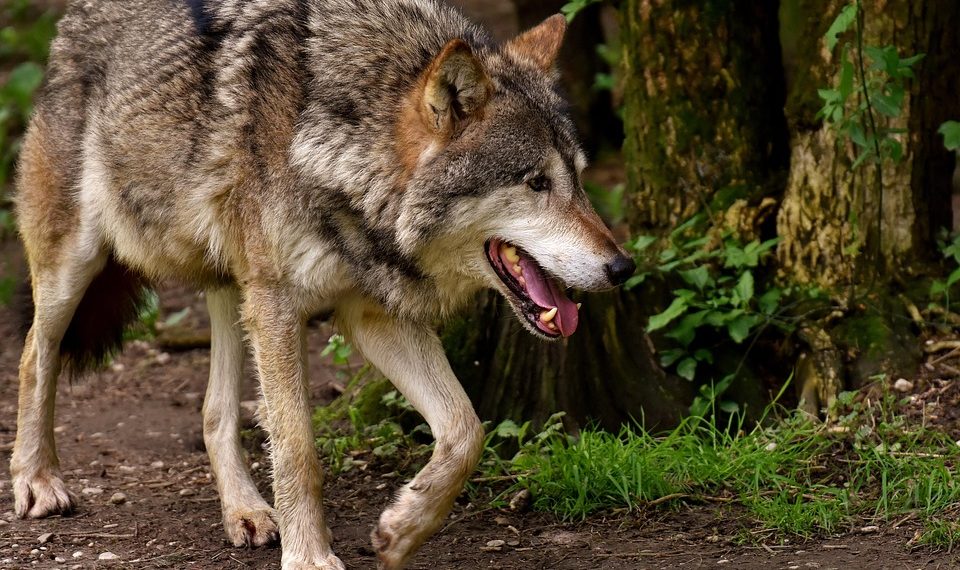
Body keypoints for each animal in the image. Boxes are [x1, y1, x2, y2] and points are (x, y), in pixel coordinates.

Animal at [10, 0, 636, 568]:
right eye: (536, 182)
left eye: (579, 180)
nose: (622, 268)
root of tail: (71, 20)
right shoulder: (280, 305)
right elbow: (297, 449)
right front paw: (310, 557)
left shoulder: (371, 315)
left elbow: (466, 431)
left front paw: (403, 529)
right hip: (78, 263)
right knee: (34, 354)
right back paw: (37, 481)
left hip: (233, 288)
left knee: (215, 411)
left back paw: (246, 512)